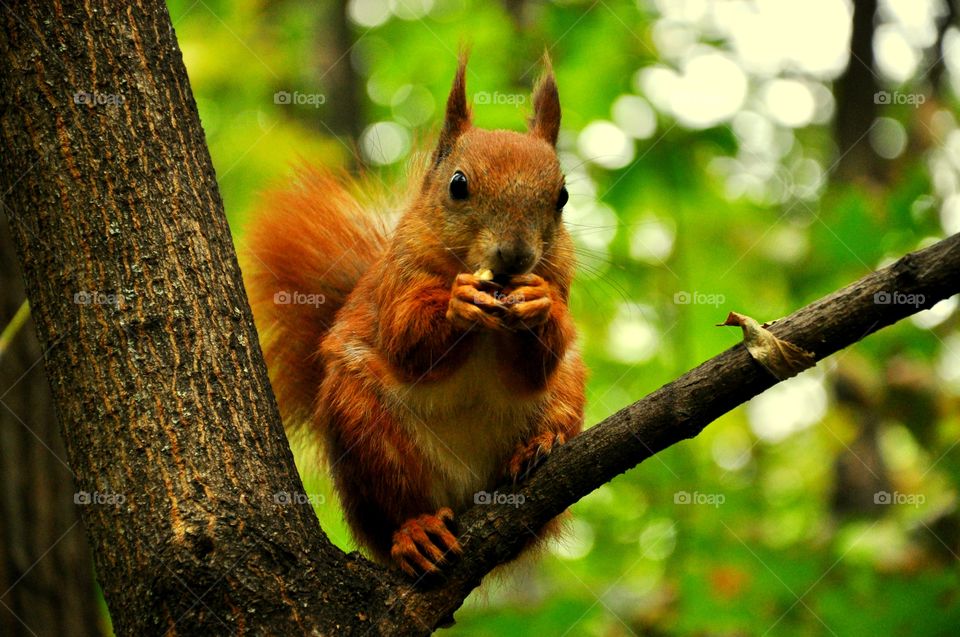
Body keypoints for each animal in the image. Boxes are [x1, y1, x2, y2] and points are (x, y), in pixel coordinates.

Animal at [244, 57, 584, 572]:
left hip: (567, 392)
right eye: (458, 185)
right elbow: (406, 343)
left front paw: (536, 305)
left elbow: (535, 366)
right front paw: (458, 304)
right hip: (366, 427)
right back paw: (415, 531)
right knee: (395, 501)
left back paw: (539, 446)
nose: (515, 255)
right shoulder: (397, 281)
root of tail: (464, 493)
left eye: (562, 197)